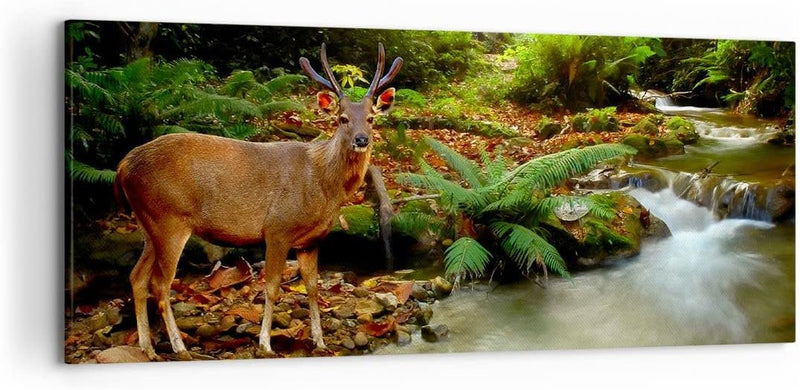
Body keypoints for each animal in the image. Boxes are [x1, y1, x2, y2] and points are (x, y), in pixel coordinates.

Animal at [114, 43, 400, 360]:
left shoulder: (310, 240)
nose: (361, 139)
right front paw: (265, 343)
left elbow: (313, 287)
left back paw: (147, 348)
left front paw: (320, 341)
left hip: (148, 223)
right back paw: (179, 347)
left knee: (137, 278)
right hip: (169, 219)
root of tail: (123, 166)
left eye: (371, 118)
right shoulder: (277, 228)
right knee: (161, 285)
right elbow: (272, 287)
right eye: (342, 118)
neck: (322, 185)